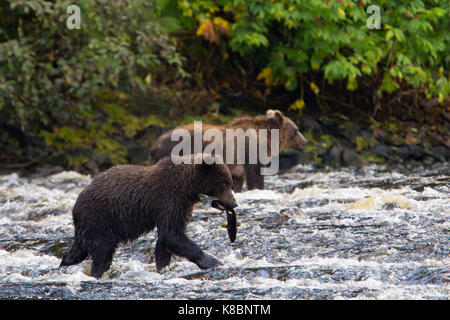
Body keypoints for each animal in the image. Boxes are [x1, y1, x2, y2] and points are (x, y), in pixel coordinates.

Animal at [60, 154, 237, 278]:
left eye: (230, 182)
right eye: (223, 184)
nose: (234, 203)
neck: (188, 188)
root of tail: (75, 205)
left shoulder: (180, 206)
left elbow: (166, 241)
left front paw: (163, 267)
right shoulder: (169, 200)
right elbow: (172, 234)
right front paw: (212, 261)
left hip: (91, 227)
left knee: (77, 251)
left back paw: (64, 265)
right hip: (100, 220)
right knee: (102, 253)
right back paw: (96, 273)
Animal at [149, 109, 308, 191]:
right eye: (296, 130)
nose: (305, 142)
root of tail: (155, 143)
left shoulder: (238, 163)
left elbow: (238, 179)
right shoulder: (250, 150)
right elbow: (255, 174)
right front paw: (257, 188)